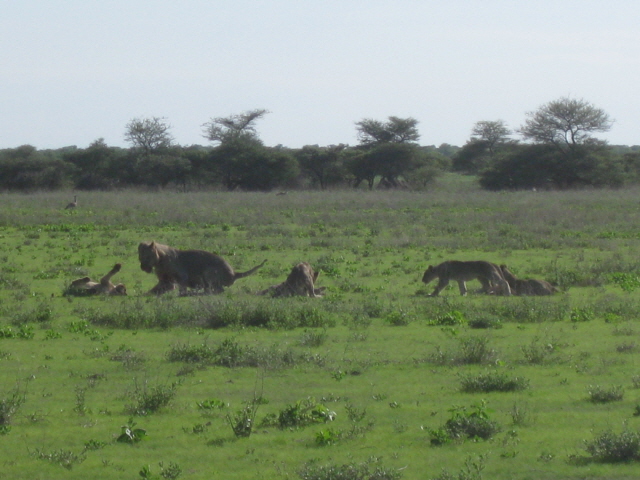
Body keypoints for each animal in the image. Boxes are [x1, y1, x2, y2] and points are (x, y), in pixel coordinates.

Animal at [138, 242, 268, 294]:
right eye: (140, 256)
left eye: (147, 256)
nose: (143, 267)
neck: (159, 262)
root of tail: (234, 273)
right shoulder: (163, 280)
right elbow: (153, 290)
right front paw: (145, 294)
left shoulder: (181, 277)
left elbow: (181, 288)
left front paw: (183, 293)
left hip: (209, 271)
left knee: (219, 290)